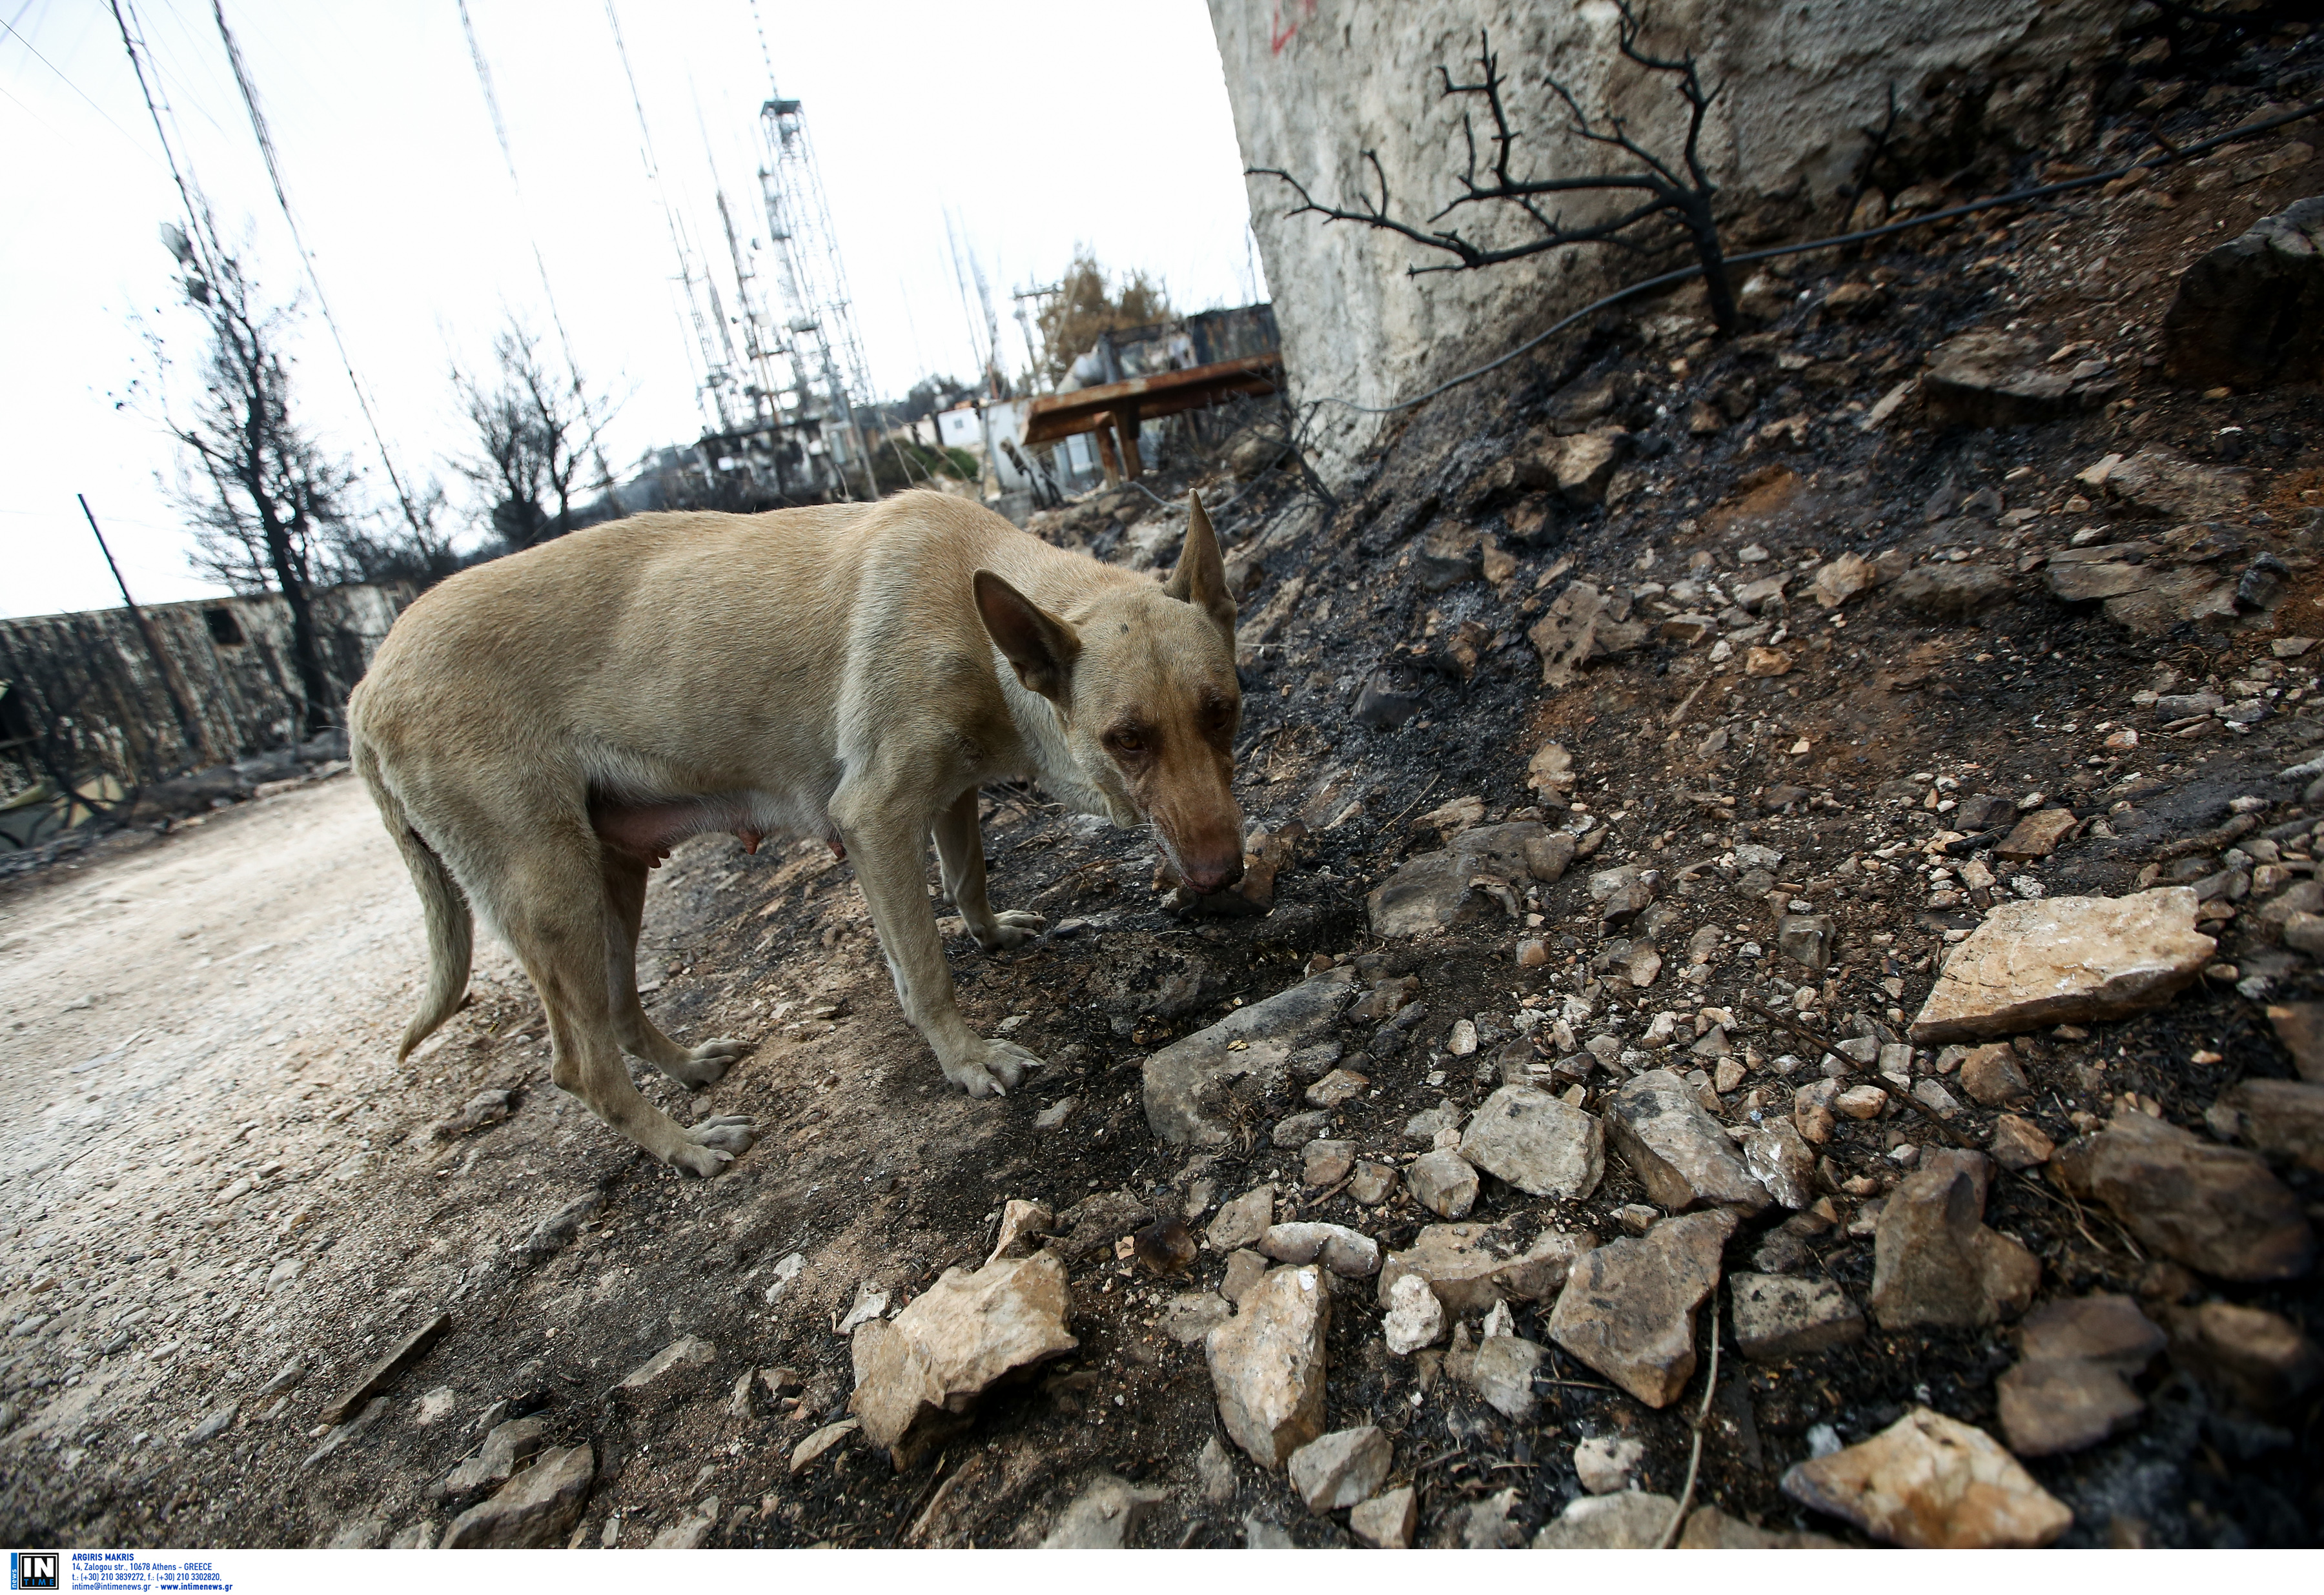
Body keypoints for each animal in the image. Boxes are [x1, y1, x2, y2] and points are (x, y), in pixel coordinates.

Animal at [343, 488, 1245, 1176]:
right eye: (1127, 739)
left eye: (1223, 710)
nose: (1224, 876)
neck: (969, 606)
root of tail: (365, 683)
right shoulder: (877, 816)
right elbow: (925, 968)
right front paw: (965, 1057)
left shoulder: (946, 795)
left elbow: (965, 880)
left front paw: (989, 932)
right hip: (550, 890)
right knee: (581, 1063)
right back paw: (685, 1145)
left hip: (611, 878)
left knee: (622, 1012)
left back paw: (687, 1068)